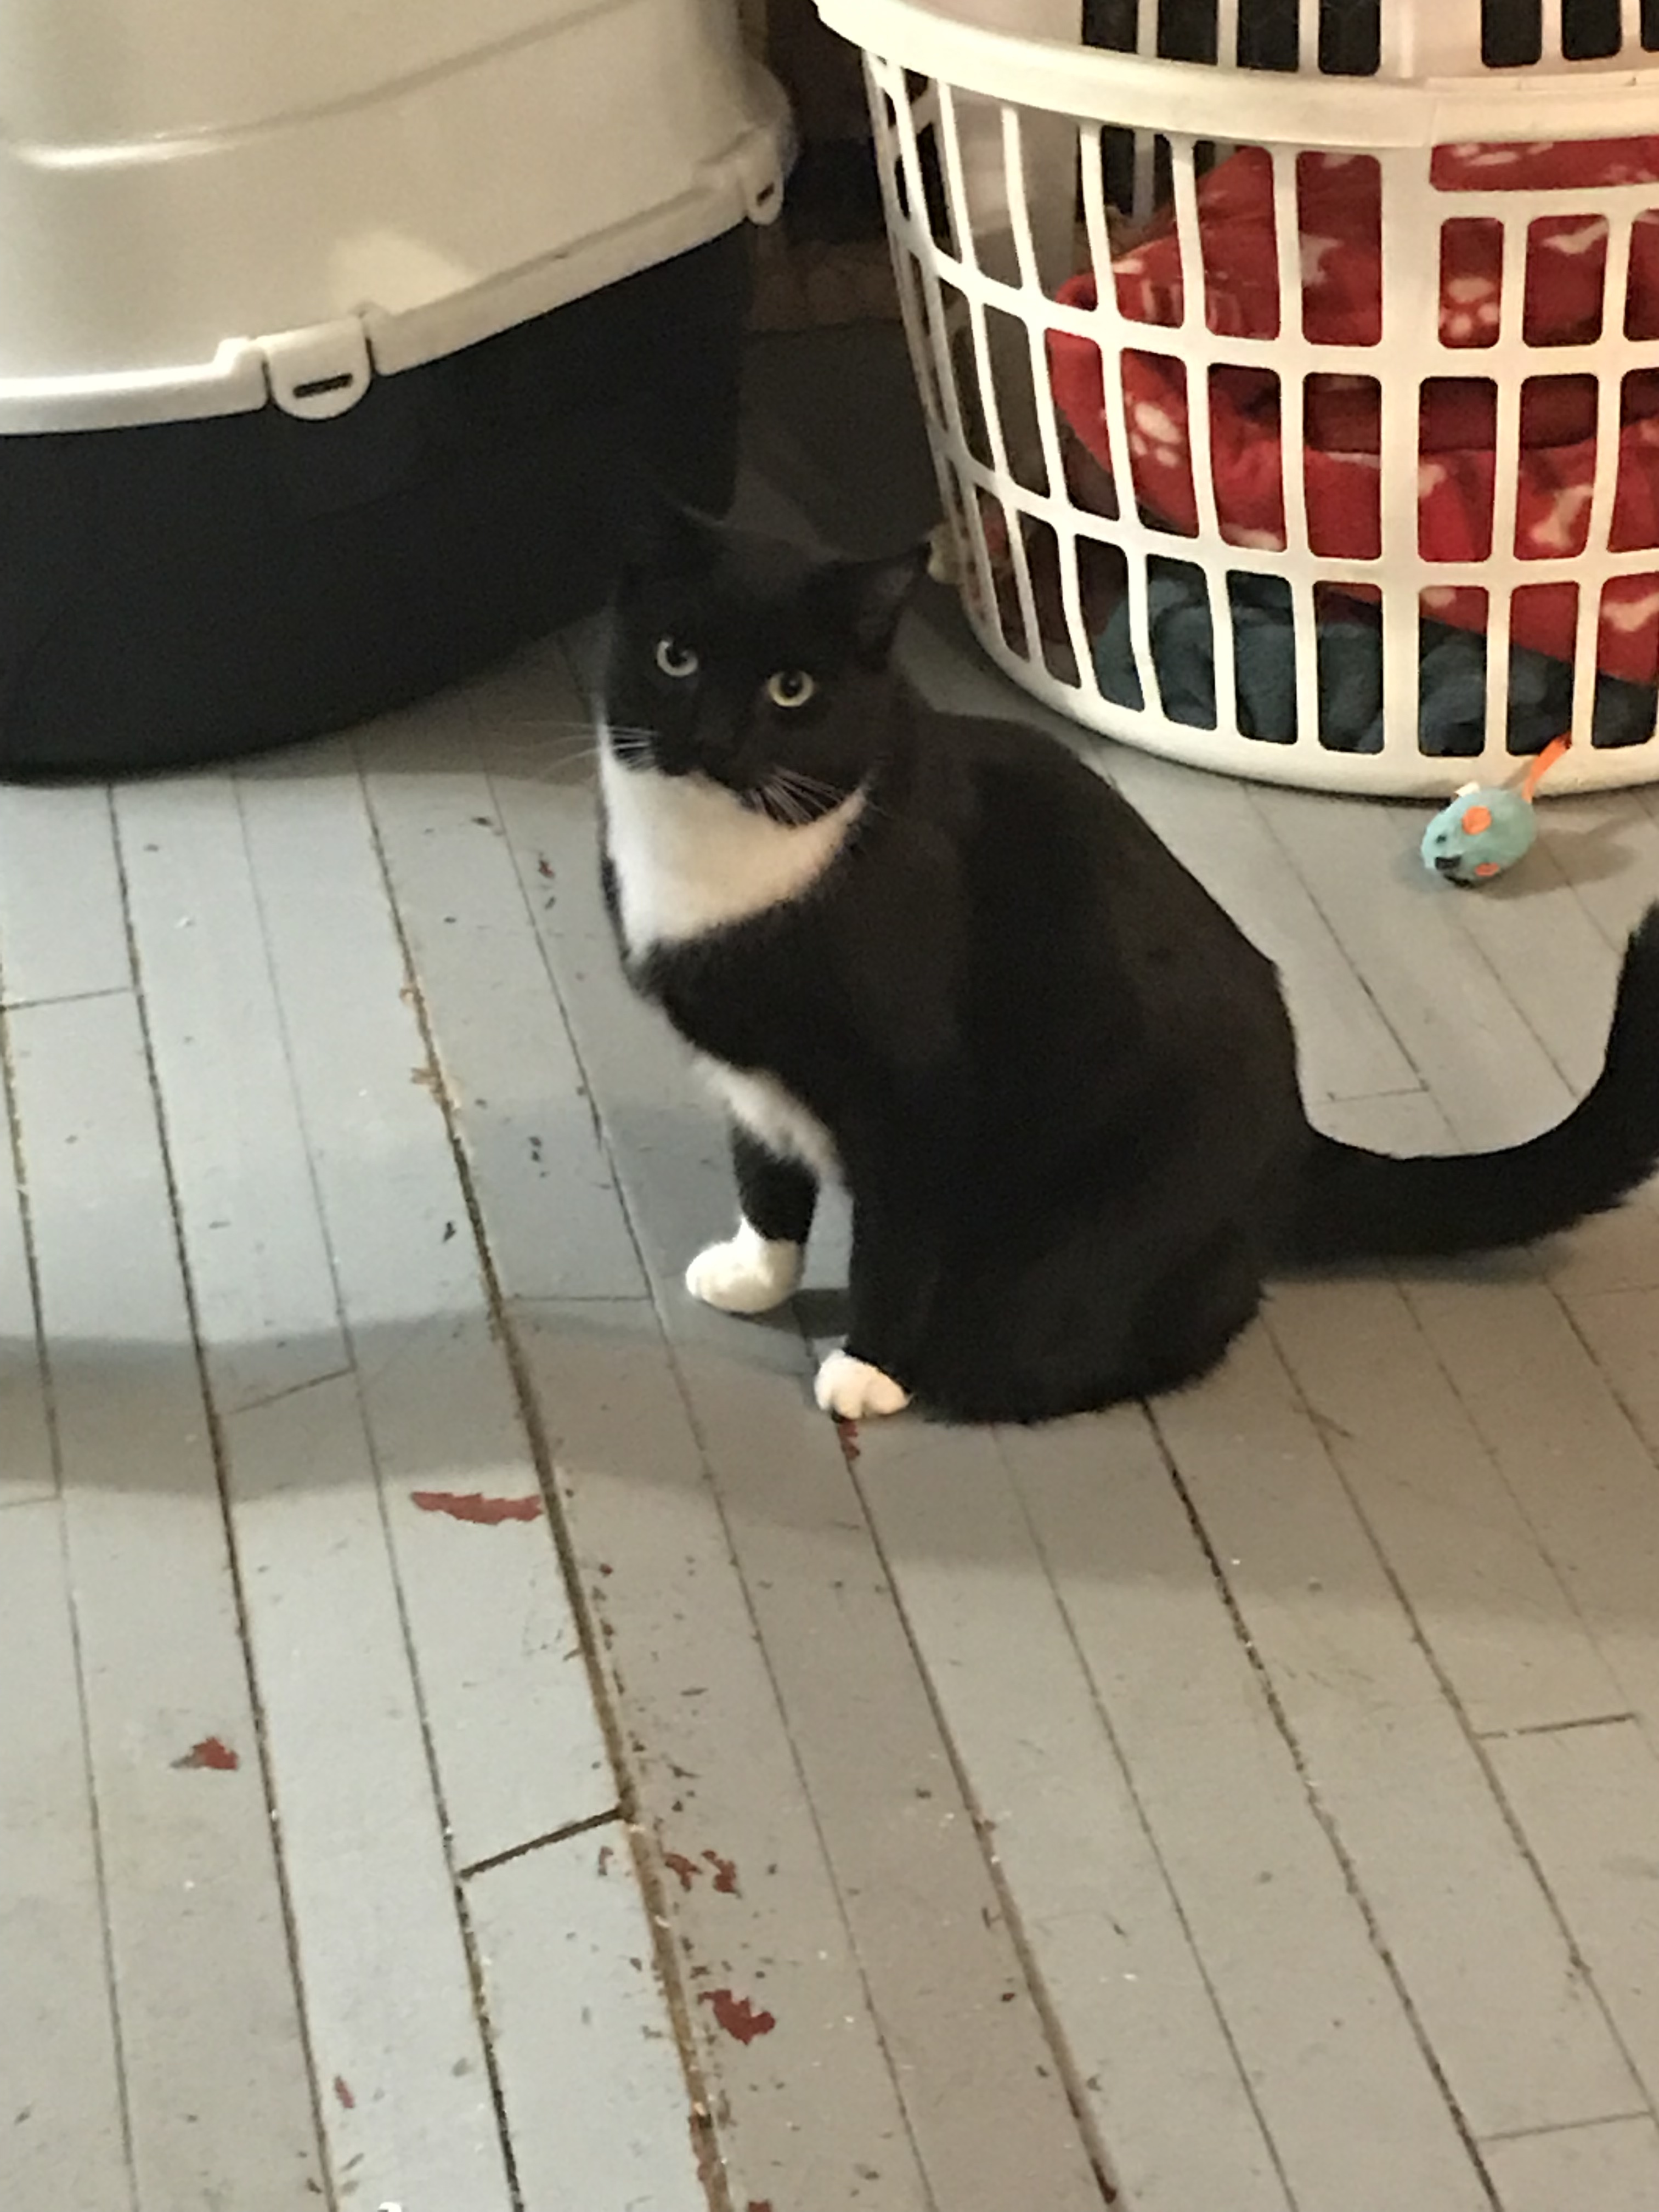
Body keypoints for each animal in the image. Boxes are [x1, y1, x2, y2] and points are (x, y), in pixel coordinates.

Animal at [601, 502, 1659, 1424]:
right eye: (673, 657)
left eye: (792, 689)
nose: (711, 738)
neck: (724, 868)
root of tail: (1294, 1148)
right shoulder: (752, 1079)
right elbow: (765, 1177)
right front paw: (755, 1273)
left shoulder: (915, 1093)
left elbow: (893, 1242)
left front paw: (868, 1368)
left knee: (1156, 1325)